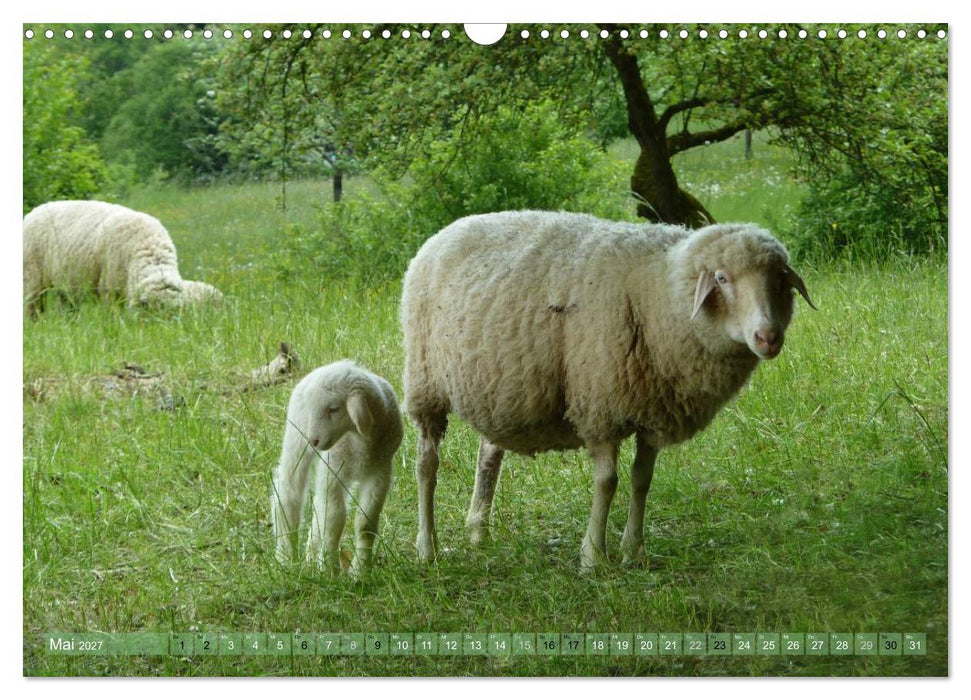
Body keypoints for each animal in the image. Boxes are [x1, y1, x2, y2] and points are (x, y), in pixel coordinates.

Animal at [271, 360, 403, 575]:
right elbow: (334, 521)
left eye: (333, 409)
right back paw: (285, 558)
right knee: (288, 492)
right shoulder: (333, 470)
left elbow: (365, 523)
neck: (359, 443)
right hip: (296, 438)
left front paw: (360, 570)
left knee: (318, 507)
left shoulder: (380, 471)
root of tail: (327, 366)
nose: (313, 440)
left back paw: (310, 558)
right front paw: (329, 570)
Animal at [400, 210, 816, 570]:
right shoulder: (600, 405)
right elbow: (607, 482)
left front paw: (634, 550)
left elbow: (642, 479)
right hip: (425, 382)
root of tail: (446, 231)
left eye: (779, 279)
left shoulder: (653, 411)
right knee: (426, 464)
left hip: (499, 390)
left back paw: (478, 533)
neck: (658, 293)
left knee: (488, 456)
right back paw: (427, 547)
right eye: (723, 278)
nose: (768, 337)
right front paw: (594, 556)